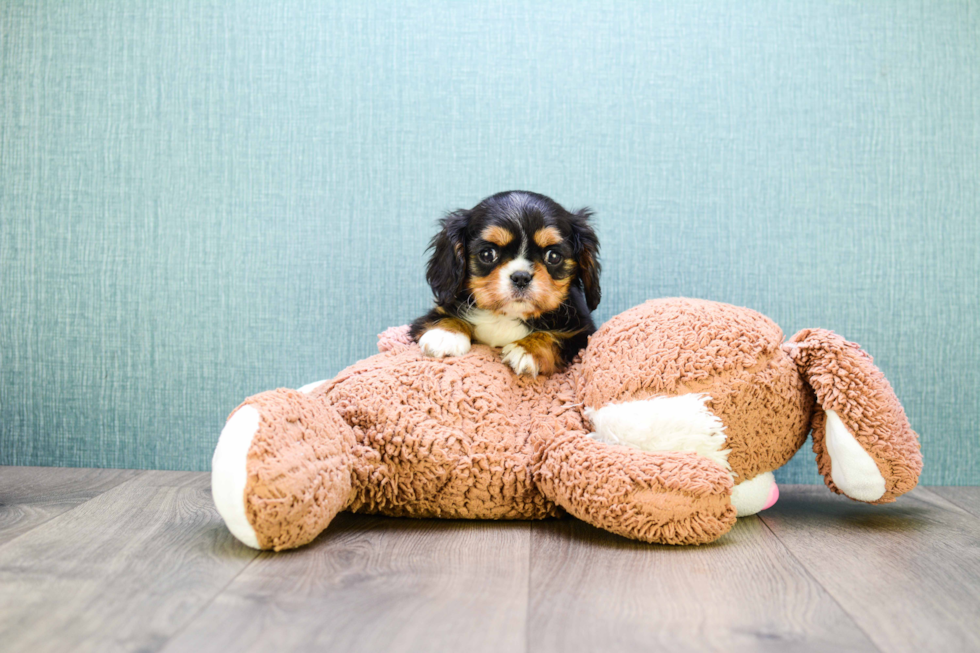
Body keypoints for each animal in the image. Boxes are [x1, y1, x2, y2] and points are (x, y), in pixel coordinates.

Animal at [408, 190, 596, 376]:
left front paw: (527, 349)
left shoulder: (583, 334)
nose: (521, 277)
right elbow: (443, 317)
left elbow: (556, 337)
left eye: (554, 256)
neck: (506, 316)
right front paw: (445, 335)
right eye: (487, 254)